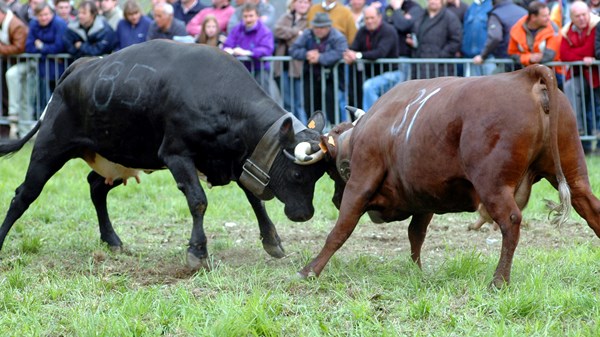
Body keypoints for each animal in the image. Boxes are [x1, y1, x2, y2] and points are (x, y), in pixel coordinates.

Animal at [0, 40, 328, 268]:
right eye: (298, 174)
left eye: (318, 176)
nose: (305, 214)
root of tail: (80, 65)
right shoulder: (177, 154)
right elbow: (198, 201)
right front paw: (197, 252)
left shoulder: (233, 160)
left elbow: (255, 199)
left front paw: (272, 240)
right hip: (49, 147)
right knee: (23, 195)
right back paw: (2, 239)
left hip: (118, 155)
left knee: (95, 186)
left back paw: (113, 240)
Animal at [302, 65, 600, 286]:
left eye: (332, 171)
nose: (335, 200)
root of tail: (525, 76)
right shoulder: (423, 199)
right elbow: (416, 234)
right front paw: (417, 271)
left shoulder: (361, 181)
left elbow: (341, 228)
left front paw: (310, 270)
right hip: (574, 175)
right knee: (591, 209)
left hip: (493, 184)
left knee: (511, 221)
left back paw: (498, 280)